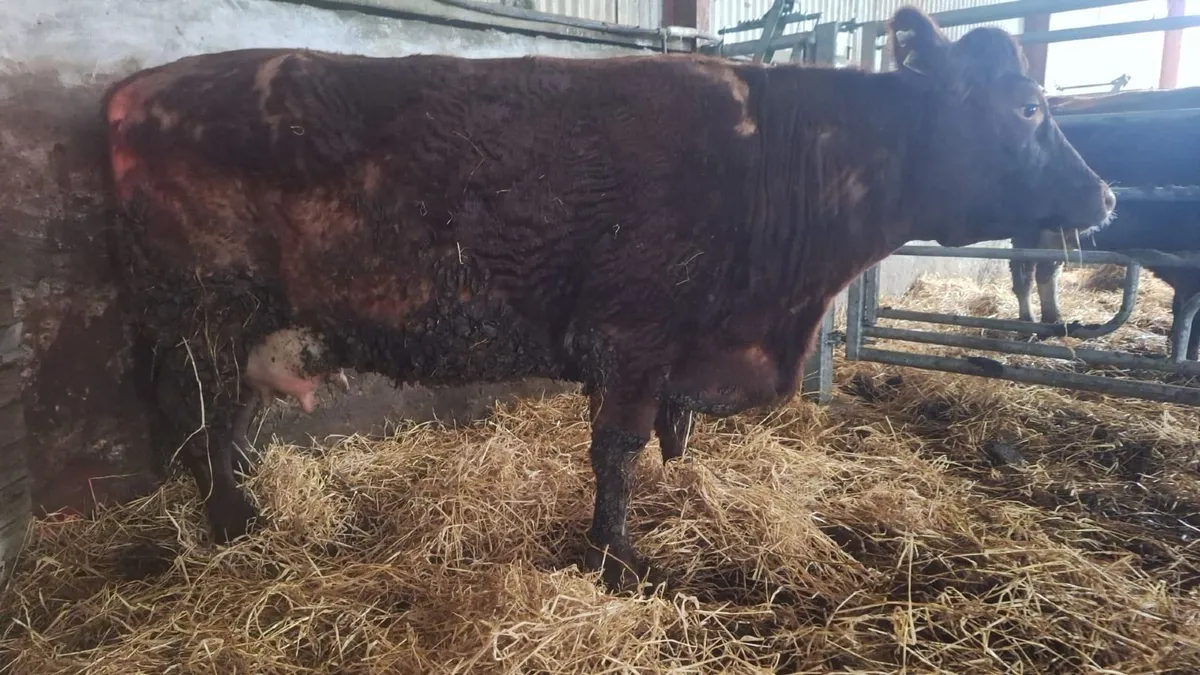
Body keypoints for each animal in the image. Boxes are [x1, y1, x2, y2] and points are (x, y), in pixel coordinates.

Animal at [102, 6, 1114, 592]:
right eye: (1028, 107)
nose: (1104, 196)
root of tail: (134, 89)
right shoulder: (630, 335)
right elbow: (618, 452)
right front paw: (617, 556)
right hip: (199, 311)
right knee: (198, 418)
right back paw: (233, 523)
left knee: (224, 421)